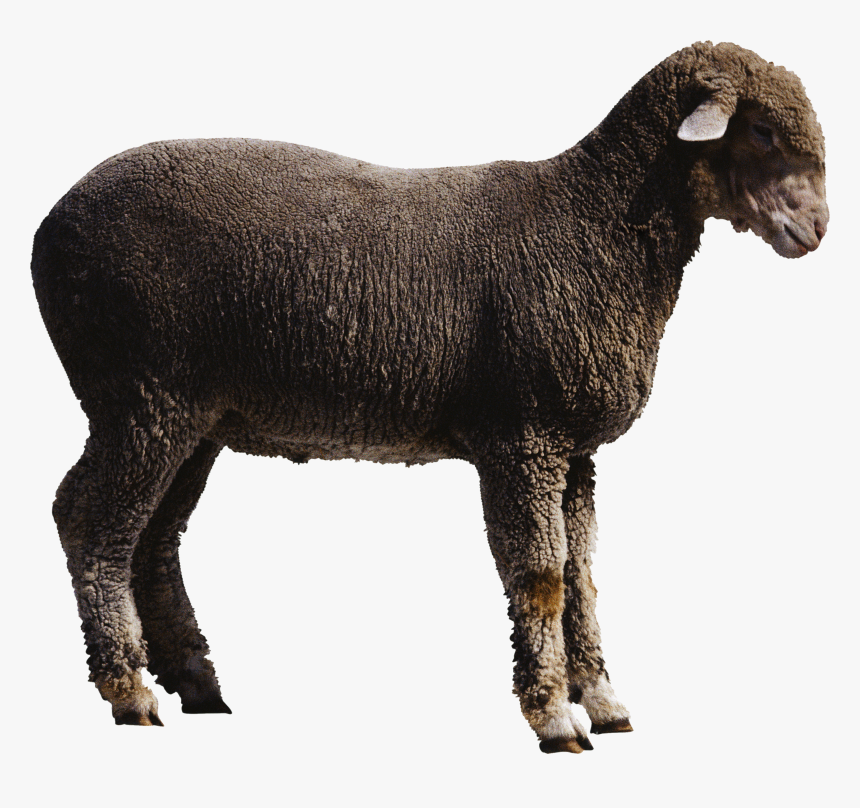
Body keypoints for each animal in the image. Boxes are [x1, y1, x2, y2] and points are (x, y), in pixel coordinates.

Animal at [31, 41, 827, 752]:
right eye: (761, 130)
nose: (817, 230)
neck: (595, 224)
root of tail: (51, 224)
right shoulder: (523, 435)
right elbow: (541, 577)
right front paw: (554, 718)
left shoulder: (573, 449)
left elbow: (584, 578)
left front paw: (603, 702)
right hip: (140, 391)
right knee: (91, 521)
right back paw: (130, 692)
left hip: (191, 415)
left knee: (154, 538)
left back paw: (197, 683)